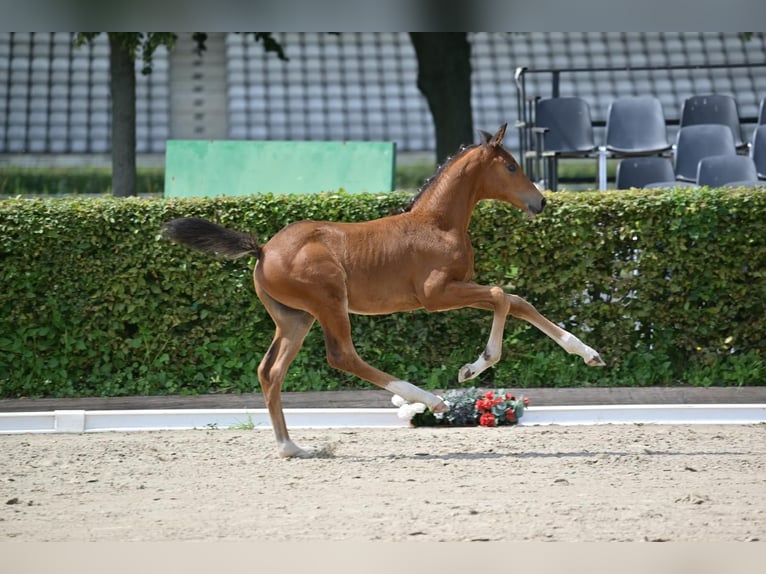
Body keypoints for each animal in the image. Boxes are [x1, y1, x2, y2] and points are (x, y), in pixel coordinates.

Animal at [162, 124, 605, 458]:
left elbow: (517, 300)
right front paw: (474, 366)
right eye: (511, 166)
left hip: (295, 318)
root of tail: (263, 248)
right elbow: (500, 295)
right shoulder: (436, 295)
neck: (437, 223)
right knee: (342, 356)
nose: (540, 203)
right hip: (328, 302)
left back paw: (292, 448)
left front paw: (588, 353)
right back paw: (429, 400)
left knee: (270, 371)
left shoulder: (454, 289)